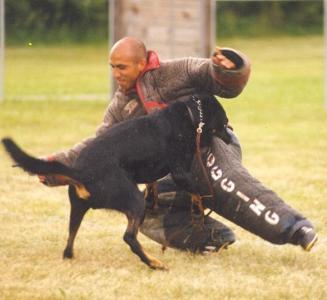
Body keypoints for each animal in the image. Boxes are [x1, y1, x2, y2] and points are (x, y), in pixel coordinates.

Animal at [1, 94, 231, 270]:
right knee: (129, 237)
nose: (230, 135)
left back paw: (71, 256)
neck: (190, 115)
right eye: (225, 122)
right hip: (133, 200)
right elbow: (197, 192)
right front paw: (199, 209)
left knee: (69, 240)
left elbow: (154, 185)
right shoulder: (180, 172)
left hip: (78, 209)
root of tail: (80, 171)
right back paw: (154, 263)